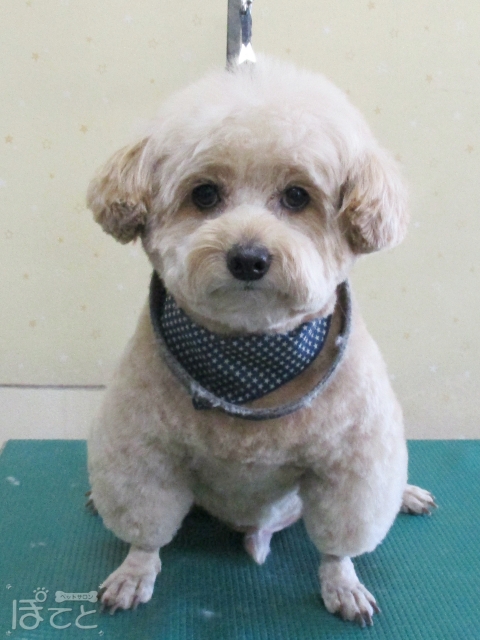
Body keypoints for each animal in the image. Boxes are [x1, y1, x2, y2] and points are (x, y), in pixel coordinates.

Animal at [86, 56, 435, 626]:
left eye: (297, 196)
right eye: (204, 194)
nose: (248, 258)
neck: (250, 358)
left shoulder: (355, 460)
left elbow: (342, 539)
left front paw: (342, 583)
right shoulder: (142, 449)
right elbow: (144, 527)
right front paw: (135, 570)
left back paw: (405, 494)